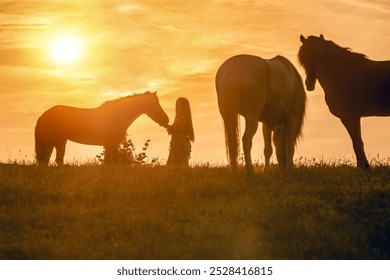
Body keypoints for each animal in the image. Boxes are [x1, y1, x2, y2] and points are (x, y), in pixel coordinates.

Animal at [34, 91, 168, 165]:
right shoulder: (112, 144)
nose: (166, 120)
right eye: (155, 104)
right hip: (54, 142)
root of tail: (43, 116)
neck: (117, 116)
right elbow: (112, 163)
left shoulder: (109, 145)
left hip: (58, 142)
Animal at [298, 35, 390, 171]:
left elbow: (357, 143)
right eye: (303, 58)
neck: (341, 73)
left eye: (319, 55)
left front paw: (363, 168)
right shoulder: (355, 117)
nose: (309, 84)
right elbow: (358, 142)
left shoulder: (348, 117)